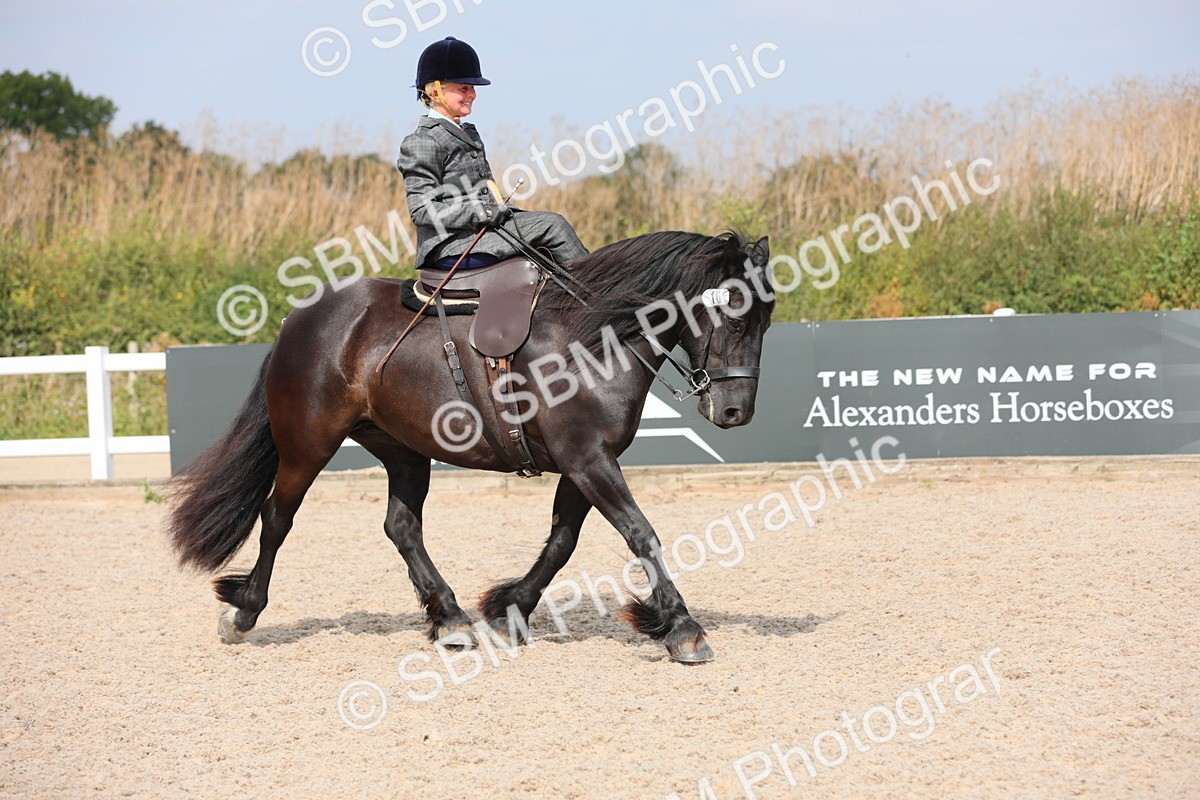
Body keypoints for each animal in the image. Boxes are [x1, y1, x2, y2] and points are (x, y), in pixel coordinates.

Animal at [168, 230, 775, 663]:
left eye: (765, 321)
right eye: (734, 317)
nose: (736, 413)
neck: (592, 337)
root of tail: (302, 317)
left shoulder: (583, 463)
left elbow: (561, 543)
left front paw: (509, 608)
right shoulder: (588, 459)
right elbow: (641, 534)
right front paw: (683, 629)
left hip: (403, 450)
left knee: (401, 526)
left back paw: (451, 619)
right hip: (307, 444)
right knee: (277, 517)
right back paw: (244, 612)